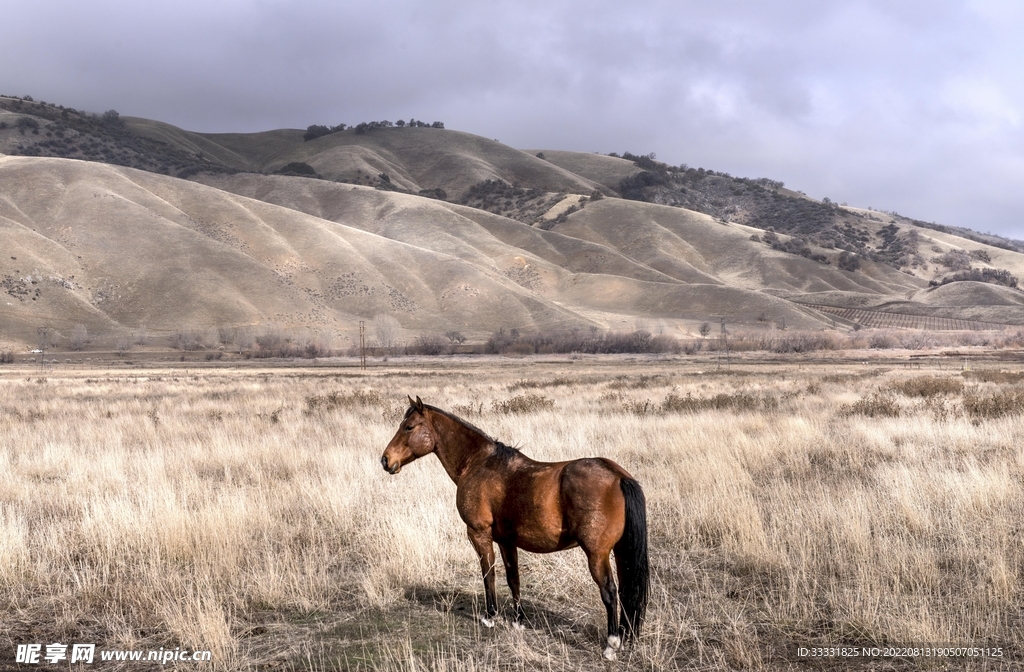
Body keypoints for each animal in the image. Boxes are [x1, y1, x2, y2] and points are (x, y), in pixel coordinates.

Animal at [380, 396, 649, 660]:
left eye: (409, 427)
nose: (385, 460)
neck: (478, 464)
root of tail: (618, 476)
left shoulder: (479, 534)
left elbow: (488, 573)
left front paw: (490, 617)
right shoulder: (506, 541)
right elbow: (513, 579)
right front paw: (518, 620)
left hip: (596, 554)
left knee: (610, 592)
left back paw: (611, 644)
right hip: (620, 552)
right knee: (627, 590)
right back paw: (626, 635)